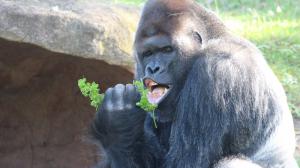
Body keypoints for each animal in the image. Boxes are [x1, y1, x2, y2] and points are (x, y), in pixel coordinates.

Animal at [91, 0, 298, 167]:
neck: (213, 39)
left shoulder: (217, 70)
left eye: (167, 50)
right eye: (148, 53)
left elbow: (185, 164)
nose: (153, 68)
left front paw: (118, 121)